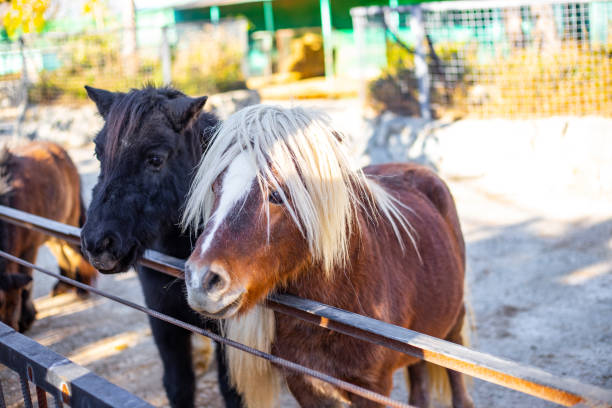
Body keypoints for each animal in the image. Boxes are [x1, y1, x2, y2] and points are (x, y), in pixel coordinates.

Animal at [0, 140, 97, 332]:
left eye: (13, 307)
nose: (12, 328)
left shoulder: (28, 249)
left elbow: (27, 282)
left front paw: (27, 318)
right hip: (52, 233)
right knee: (63, 254)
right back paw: (64, 285)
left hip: (68, 221)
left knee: (76, 252)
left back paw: (82, 287)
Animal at [80, 85, 243, 408]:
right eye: (97, 152)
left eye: (155, 159)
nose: (98, 243)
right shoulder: (164, 323)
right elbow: (179, 385)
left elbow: (231, 391)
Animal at [182, 105, 474, 408]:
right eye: (216, 187)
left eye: (276, 195)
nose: (201, 280)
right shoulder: (304, 384)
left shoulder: (373, 388)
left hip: (453, 324)